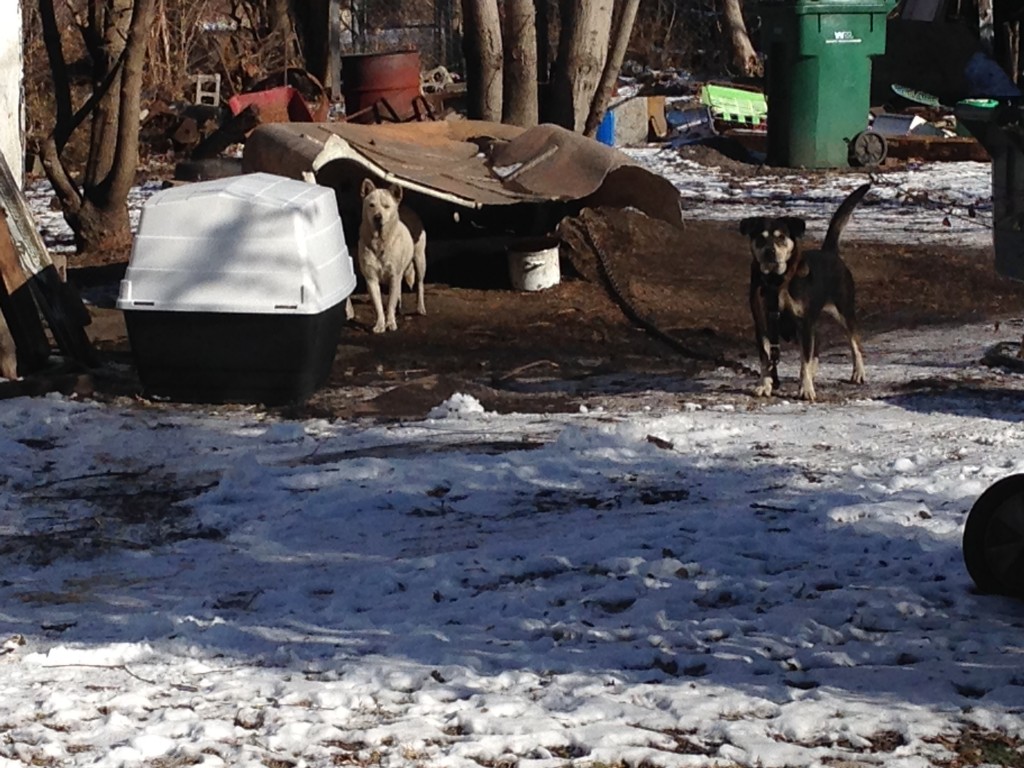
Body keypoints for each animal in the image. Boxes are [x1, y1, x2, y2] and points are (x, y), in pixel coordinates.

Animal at [344, 183, 423, 335]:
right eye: (371, 205)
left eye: (386, 206)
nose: (377, 217)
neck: (380, 242)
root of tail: (407, 208)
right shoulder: (371, 279)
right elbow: (379, 305)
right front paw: (380, 324)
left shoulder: (394, 276)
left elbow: (390, 304)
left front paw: (390, 323)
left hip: (420, 260)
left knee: (419, 284)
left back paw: (421, 308)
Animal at [737, 184, 872, 405]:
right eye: (760, 238)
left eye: (781, 237)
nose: (769, 252)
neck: (776, 281)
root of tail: (830, 252)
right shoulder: (762, 324)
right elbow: (766, 358)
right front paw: (764, 385)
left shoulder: (804, 322)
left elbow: (803, 361)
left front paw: (806, 389)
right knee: (817, 345)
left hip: (844, 310)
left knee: (854, 342)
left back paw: (858, 373)